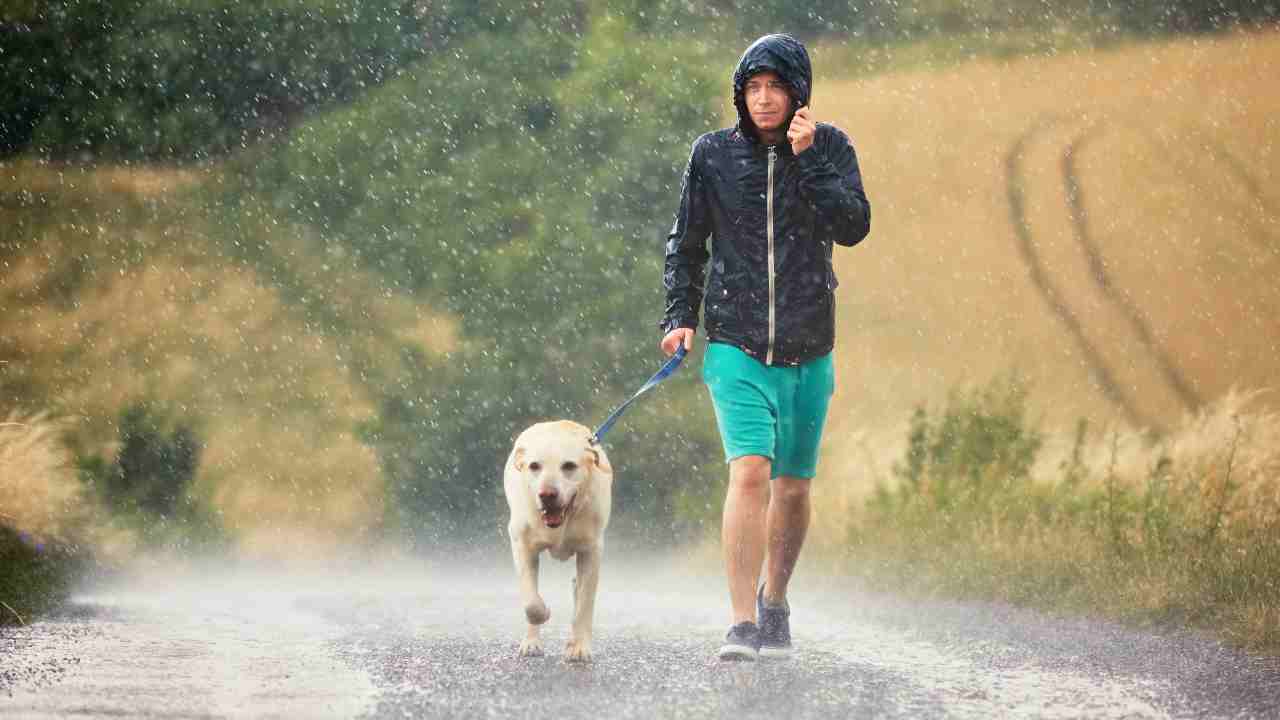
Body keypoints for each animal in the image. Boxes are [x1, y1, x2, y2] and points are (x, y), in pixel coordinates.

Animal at [501, 417, 611, 661]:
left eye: (569, 465)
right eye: (534, 466)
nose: (547, 495)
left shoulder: (591, 550)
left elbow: (584, 604)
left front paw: (579, 647)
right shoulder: (522, 544)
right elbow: (531, 602)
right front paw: (542, 615)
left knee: (578, 590)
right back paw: (531, 643)